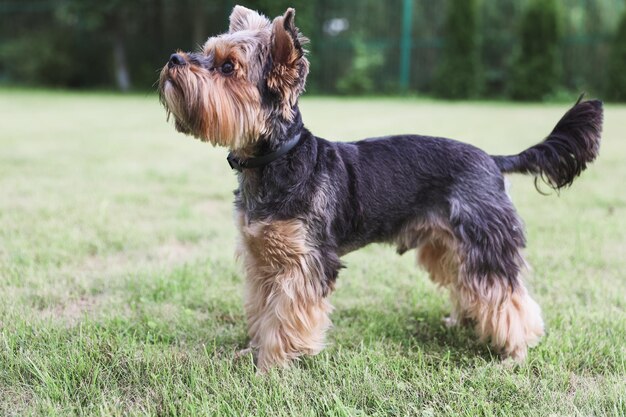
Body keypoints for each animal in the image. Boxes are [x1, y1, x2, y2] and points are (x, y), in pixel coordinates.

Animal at [158, 5, 604, 370]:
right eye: (206, 51)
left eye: (227, 67)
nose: (174, 58)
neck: (276, 159)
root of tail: (493, 160)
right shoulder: (262, 259)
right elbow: (261, 309)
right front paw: (251, 351)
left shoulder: (305, 262)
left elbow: (285, 317)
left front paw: (271, 366)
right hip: (447, 243)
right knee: (472, 284)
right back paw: (468, 322)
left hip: (484, 239)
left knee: (506, 293)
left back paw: (516, 351)